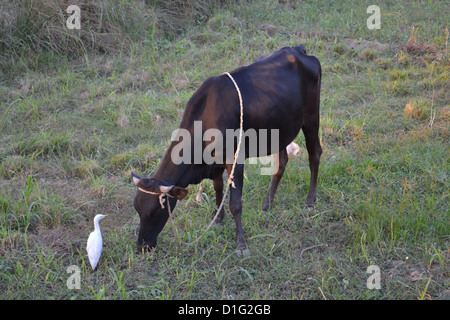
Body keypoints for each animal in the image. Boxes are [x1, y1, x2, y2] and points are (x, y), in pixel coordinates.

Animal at [132, 45, 322, 255]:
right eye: (137, 209)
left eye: (156, 211)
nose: (142, 246)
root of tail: (297, 49)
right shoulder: (215, 162)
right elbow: (218, 189)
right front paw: (218, 219)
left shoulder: (235, 159)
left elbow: (235, 203)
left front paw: (241, 243)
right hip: (280, 128)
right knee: (281, 163)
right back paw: (268, 203)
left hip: (311, 117)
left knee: (315, 155)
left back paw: (310, 200)